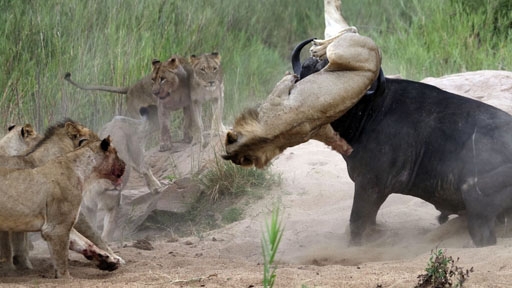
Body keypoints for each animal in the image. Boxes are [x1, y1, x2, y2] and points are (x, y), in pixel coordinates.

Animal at [294, 38, 512, 246]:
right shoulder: (375, 191)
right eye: (306, 72)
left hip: (476, 203)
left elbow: (356, 224)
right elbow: (369, 223)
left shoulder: (369, 185)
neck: (372, 112)